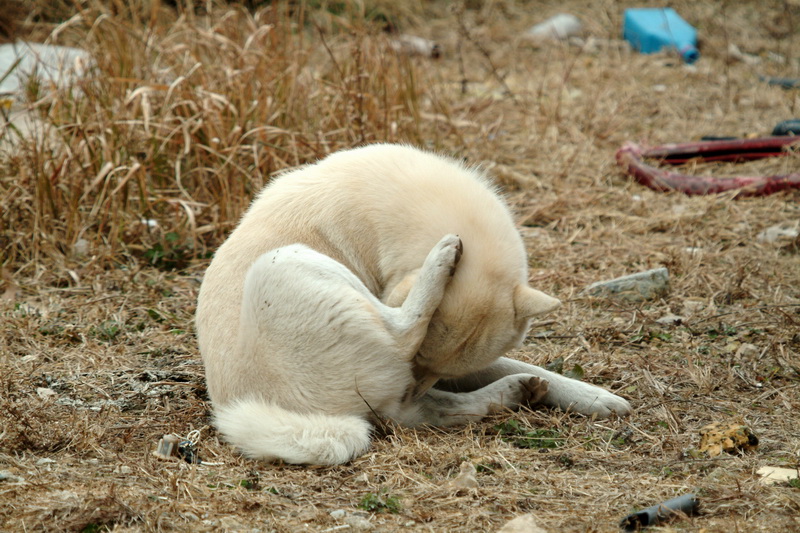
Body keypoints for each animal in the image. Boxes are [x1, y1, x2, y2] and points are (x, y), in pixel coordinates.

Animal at [195, 143, 632, 464]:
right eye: (420, 361)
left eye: (435, 369)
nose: (413, 384)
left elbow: (516, 362)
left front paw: (596, 397)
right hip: (282, 263)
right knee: (403, 334)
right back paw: (440, 261)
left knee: (430, 410)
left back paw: (513, 392)